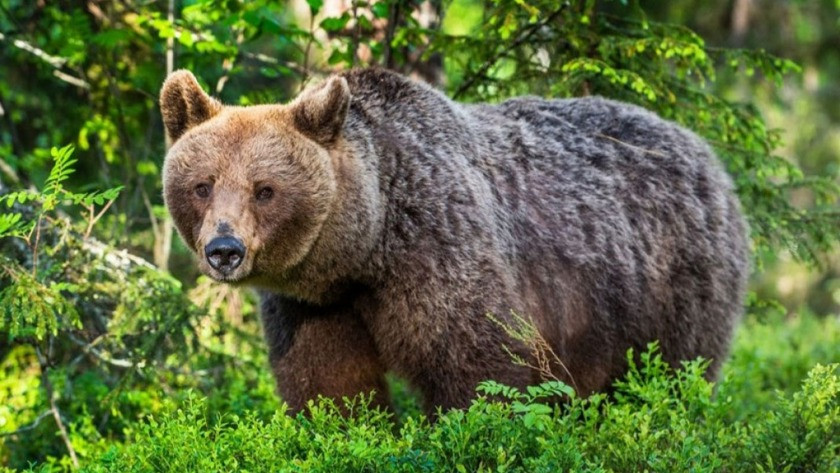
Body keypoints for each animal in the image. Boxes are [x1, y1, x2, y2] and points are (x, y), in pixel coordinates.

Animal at [161, 68, 752, 414]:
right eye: (202, 185)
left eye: (265, 189)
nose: (225, 250)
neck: (363, 250)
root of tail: (710, 155)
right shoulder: (312, 308)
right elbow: (328, 383)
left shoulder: (438, 252)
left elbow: (479, 368)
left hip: (671, 284)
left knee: (674, 373)